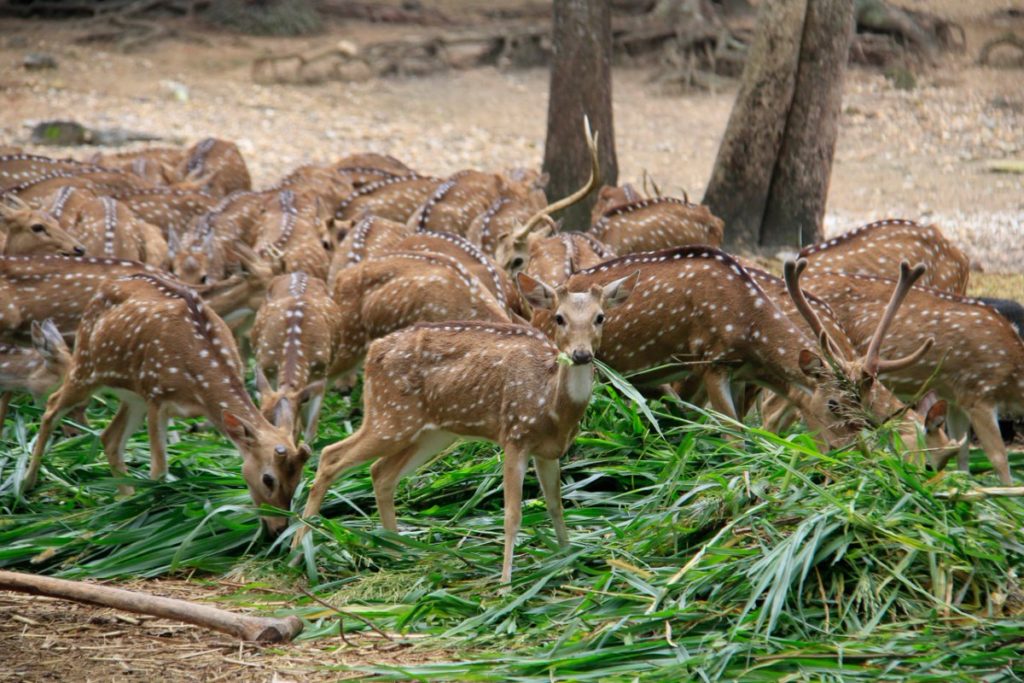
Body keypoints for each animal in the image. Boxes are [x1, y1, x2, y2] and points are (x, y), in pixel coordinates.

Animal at [25, 270, 309, 532]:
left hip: (132, 396)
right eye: (268, 479)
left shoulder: (152, 398)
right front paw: (154, 506)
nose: (277, 529)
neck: (198, 386)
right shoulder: (156, 395)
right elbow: (159, 470)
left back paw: (125, 498)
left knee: (109, 437)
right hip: (86, 366)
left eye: (298, 480)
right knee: (52, 405)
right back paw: (27, 483)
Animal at [292, 270, 634, 581]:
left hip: (429, 433)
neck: (551, 404)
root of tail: (374, 351)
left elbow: (556, 506)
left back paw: (399, 552)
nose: (581, 354)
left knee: (381, 473)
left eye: (600, 317)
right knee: (330, 456)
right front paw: (506, 583)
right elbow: (512, 514)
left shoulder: (549, 451)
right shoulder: (515, 434)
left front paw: (570, 560)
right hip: (389, 417)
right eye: (560, 318)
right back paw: (299, 549)